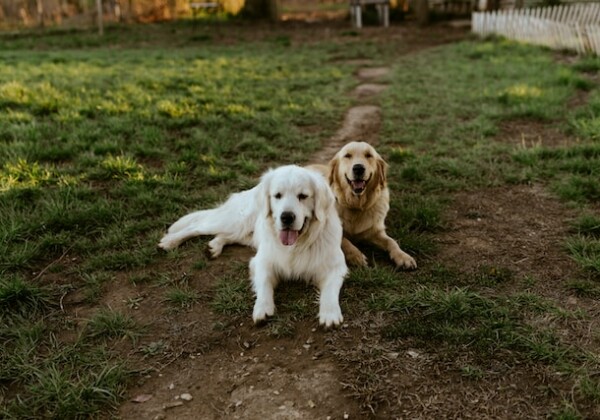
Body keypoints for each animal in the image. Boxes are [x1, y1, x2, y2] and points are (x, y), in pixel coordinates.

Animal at [157, 165, 350, 328]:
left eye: (303, 196)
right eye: (277, 195)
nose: (287, 217)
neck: (296, 245)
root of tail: (252, 188)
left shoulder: (336, 266)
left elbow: (330, 292)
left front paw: (330, 313)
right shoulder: (262, 261)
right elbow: (263, 283)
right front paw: (262, 308)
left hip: (246, 232)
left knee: (225, 235)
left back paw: (213, 246)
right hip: (236, 221)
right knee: (196, 226)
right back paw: (169, 241)